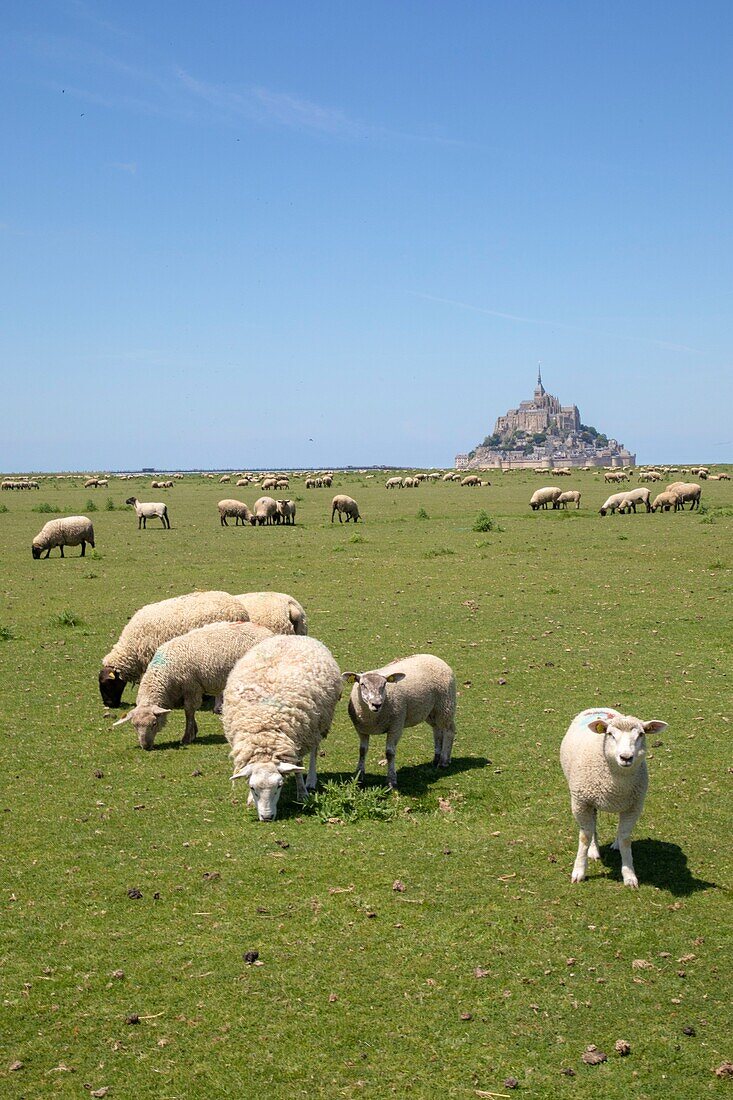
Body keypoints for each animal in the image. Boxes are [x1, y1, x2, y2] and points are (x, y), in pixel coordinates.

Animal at [112, 620, 272, 748]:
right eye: (134, 725)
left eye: (154, 724)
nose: (145, 746)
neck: (166, 674)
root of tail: (267, 631)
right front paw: (193, 732)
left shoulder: (192, 687)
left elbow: (189, 711)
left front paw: (188, 736)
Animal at [225, 633, 343, 822]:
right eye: (252, 787)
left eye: (279, 786)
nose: (267, 817)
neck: (264, 732)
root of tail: (293, 636)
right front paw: (250, 800)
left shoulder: (298, 738)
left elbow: (298, 768)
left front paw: (302, 793)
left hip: (317, 724)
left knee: (314, 751)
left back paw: (311, 779)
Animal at [338, 651, 453, 792]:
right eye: (362, 684)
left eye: (384, 684)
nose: (376, 704)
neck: (373, 717)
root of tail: (434, 657)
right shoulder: (361, 729)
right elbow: (362, 750)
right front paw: (359, 776)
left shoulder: (396, 727)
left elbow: (390, 753)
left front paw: (392, 781)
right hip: (431, 710)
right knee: (437, 730)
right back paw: (436, 758)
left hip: (446, 704)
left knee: (449, 730)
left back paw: (444, 760)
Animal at [556, 708, 664, 888]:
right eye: (610, 734)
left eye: (641, 734)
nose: (626, 757)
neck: (615, 784)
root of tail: (597, 708)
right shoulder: (581, 803)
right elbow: (585, 836)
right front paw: (579, 872)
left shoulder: (634, 806)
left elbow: (625, 837)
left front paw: (629, 875)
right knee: (592, 826)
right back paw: (594, 850)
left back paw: (615, 844)